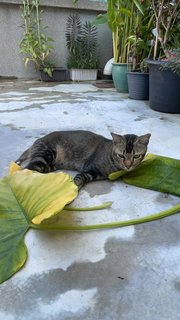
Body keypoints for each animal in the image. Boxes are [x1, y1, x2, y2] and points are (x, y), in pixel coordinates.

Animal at [15, 130, 150, 189]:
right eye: (121, 156)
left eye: (136, 156)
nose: (128, 165)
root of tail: (37, 141)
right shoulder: (89, 167)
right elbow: (79, 178)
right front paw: (73, 188)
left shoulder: (93, 173)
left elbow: (83, 178)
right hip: (43, 157)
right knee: (25, 170)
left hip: (48, 165)